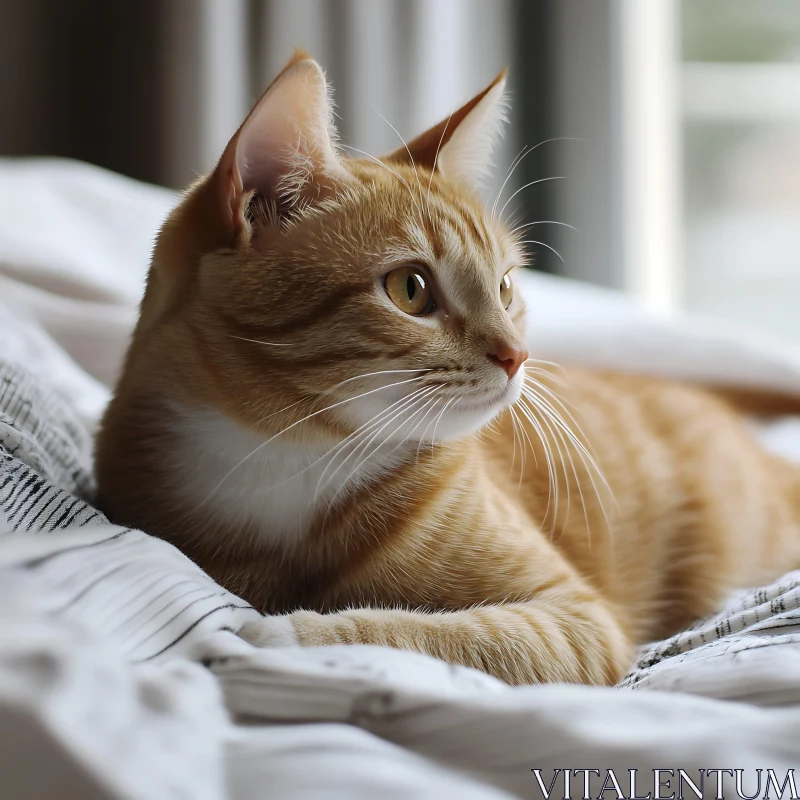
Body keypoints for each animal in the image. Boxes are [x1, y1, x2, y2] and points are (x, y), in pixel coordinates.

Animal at [94, 53, 800, 684]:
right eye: (410, 290)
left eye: (506, 286)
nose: (516, 355)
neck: (287, 456)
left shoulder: (575, 618)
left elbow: (435, 634)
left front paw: (287, 633)